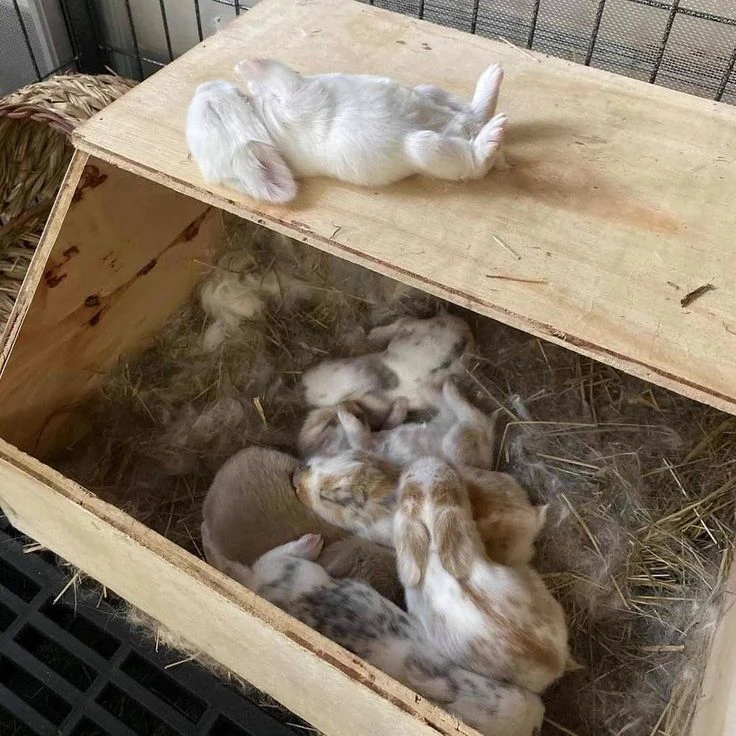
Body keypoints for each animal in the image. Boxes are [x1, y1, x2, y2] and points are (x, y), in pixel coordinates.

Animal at [186, 59, 507, 203]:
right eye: (212, 111)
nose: (203, 87)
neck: (261, 119)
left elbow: (270, 78)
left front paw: (244, 69)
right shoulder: (295, 98)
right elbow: (281, 76)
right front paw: (249, 67)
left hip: (430, 93)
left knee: (469, 109)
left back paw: (492, 80)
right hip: (426, 149)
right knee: (475, 161)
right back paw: (493, 134)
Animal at [218, 533, 544, 736]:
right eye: (532, 732)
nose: (541, 715)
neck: (453, 678)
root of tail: (256, 585)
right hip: (290, 569)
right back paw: (313, 540)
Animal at [301, 312, 474, 414]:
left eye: (345, 396)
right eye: (324, 363)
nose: (304, 389)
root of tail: (465, 330)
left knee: (403, 321)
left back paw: (374, 334)